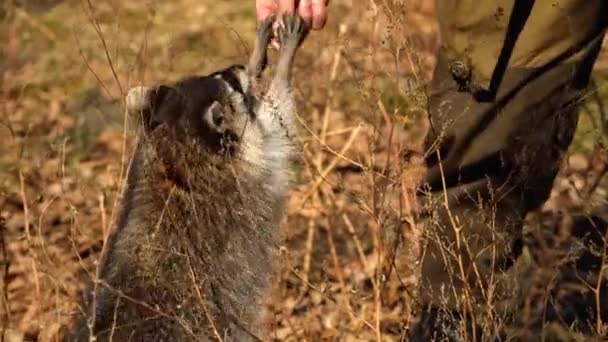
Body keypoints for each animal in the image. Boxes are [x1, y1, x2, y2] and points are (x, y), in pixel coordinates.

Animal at [65, 13, 308, 342]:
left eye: (220, 74)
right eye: (230, 84)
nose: (238, 68)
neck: (175, 152)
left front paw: (258, 58)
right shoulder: (249, 173)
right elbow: (277, 122)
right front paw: (282, 65)